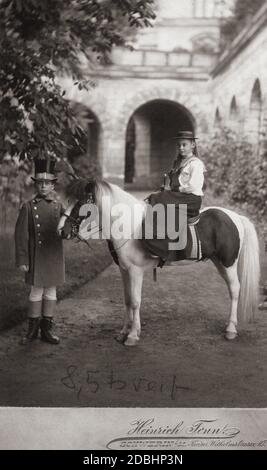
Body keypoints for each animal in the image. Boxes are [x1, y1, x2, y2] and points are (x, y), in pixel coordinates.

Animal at [57, 178, 260, 346]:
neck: (128, 224)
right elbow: (127, 299)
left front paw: (132, 335)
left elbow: (136, 301)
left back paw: (231, 329)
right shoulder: (124, 270)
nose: (61, 231)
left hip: (228, 263)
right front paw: (124, 332)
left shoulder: (135, 271)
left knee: (235, 289)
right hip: (219, 262)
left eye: (81, 202)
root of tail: (236, 217)